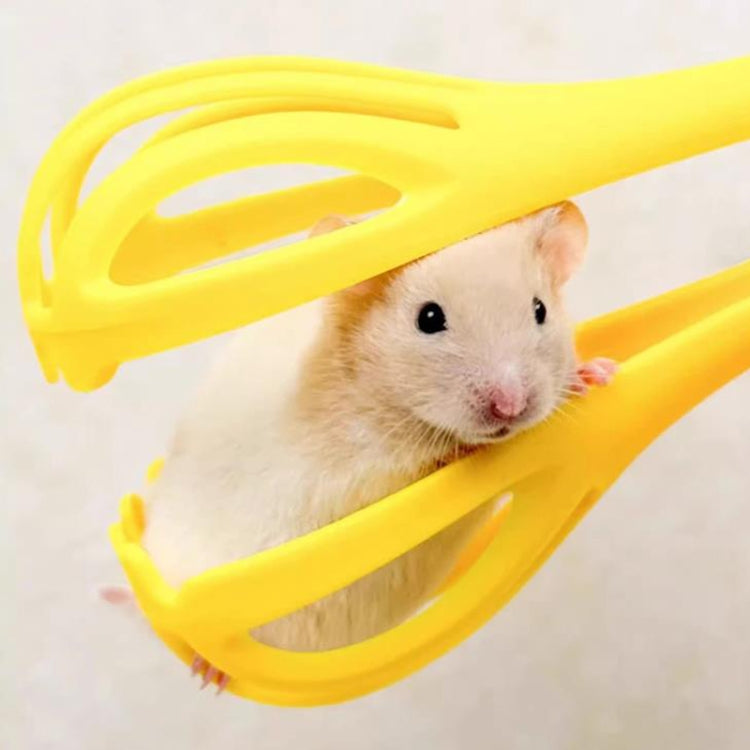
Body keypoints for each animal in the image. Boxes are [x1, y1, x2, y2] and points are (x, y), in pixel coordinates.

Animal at [133, 202, 615, 688]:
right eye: (429, 319)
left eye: (540, 309)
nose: (510, 407)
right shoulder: (353, 471)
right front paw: (463, 451)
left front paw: (597, 374)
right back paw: (208, 672)